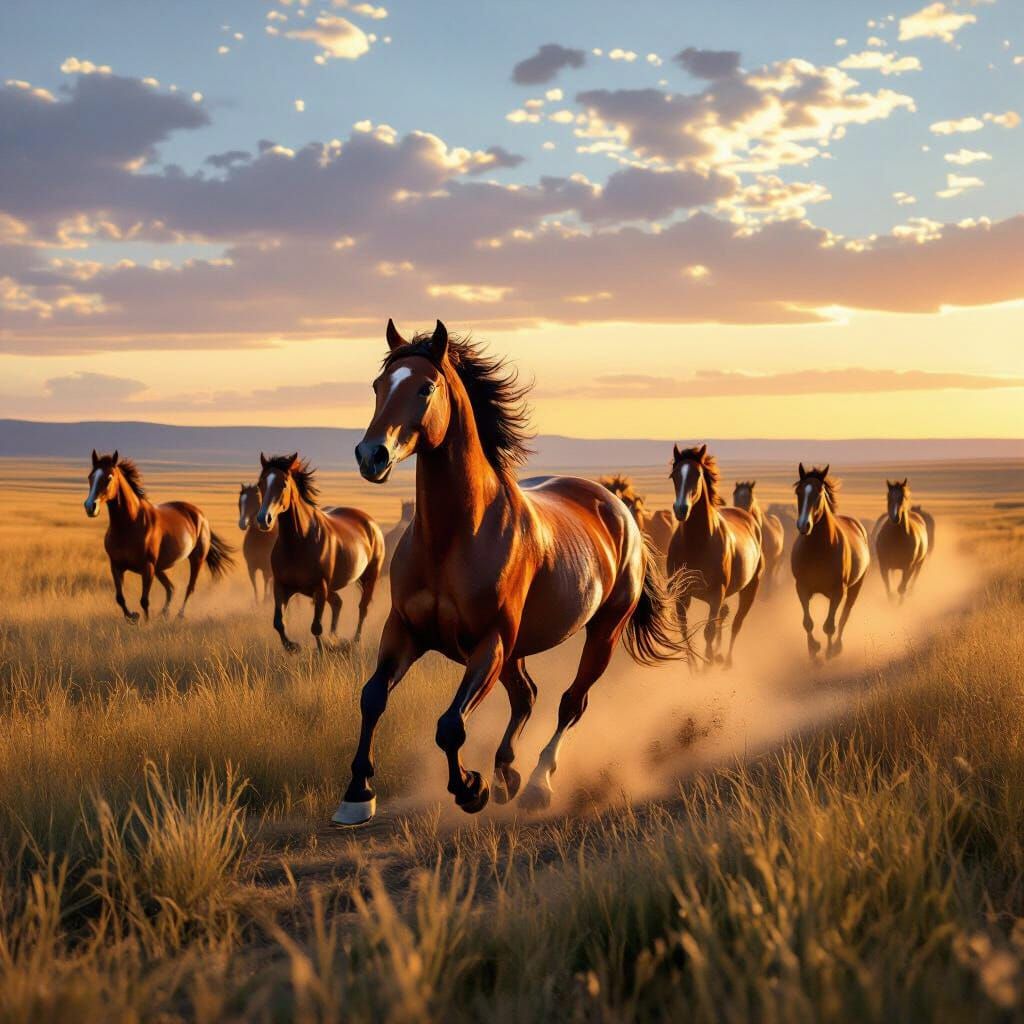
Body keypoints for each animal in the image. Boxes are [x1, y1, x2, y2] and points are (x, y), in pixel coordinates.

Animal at [84, 450, 234, 621]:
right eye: (90, 476)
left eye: (109, 477)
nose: (90, 506)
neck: (129, 525)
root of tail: (200, 515)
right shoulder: (116, 566)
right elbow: (120, 598)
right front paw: (133, 617)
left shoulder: (147, 567)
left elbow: (144, 601)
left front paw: (146, 622)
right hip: (159, 568)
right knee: (171, 588)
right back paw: (164, 613)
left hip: (195, 559)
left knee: (189, 587)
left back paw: (179, 615)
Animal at [255, 453, 384, 652]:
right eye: (260, 483)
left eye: (283, 484)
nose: (264, 519)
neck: (298, 542)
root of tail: (370, 522)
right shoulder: (281, 586)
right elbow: (278, 622)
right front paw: (292, 647)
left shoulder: (320, 588)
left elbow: (316, 626)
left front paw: (321, 650)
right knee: (338, 603)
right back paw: (334, 637)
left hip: (370, 576)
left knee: (362, 608)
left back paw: (354, 641)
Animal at [333, 319, 687, 827]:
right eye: (379, 386)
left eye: (425, 387)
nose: (371, 455)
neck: (452, 537)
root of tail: (617, 507)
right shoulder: (404, 631)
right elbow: (373, 697)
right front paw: (357, 795)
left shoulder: (489, 643)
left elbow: (450, 725)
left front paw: (469, 788)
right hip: (518, 650)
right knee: (527, 695)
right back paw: (507, 774)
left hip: (602, 632)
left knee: (570, 703)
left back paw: (536, 784)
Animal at [666, 445, 764, 667]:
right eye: (674, 475)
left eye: (697, 474)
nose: (681, 509)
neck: (697, 543)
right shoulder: (682, 595)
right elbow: (685, 630)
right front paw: (693, 667)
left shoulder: (715, 594)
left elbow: (708, 632)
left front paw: (707, 665)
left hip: (750, 589)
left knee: (737, 623)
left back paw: (725, 660)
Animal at [791, 464, 870, 659]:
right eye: (798, 491)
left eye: (819, 493)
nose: (803, 525)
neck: (819, 549)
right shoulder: (801, 587)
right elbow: (808, 623)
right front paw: (813, 651)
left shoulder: (838, 592)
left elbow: (829, 626)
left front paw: (827, 652)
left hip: (855, 588)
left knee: (844, 616)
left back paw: (836, 647)